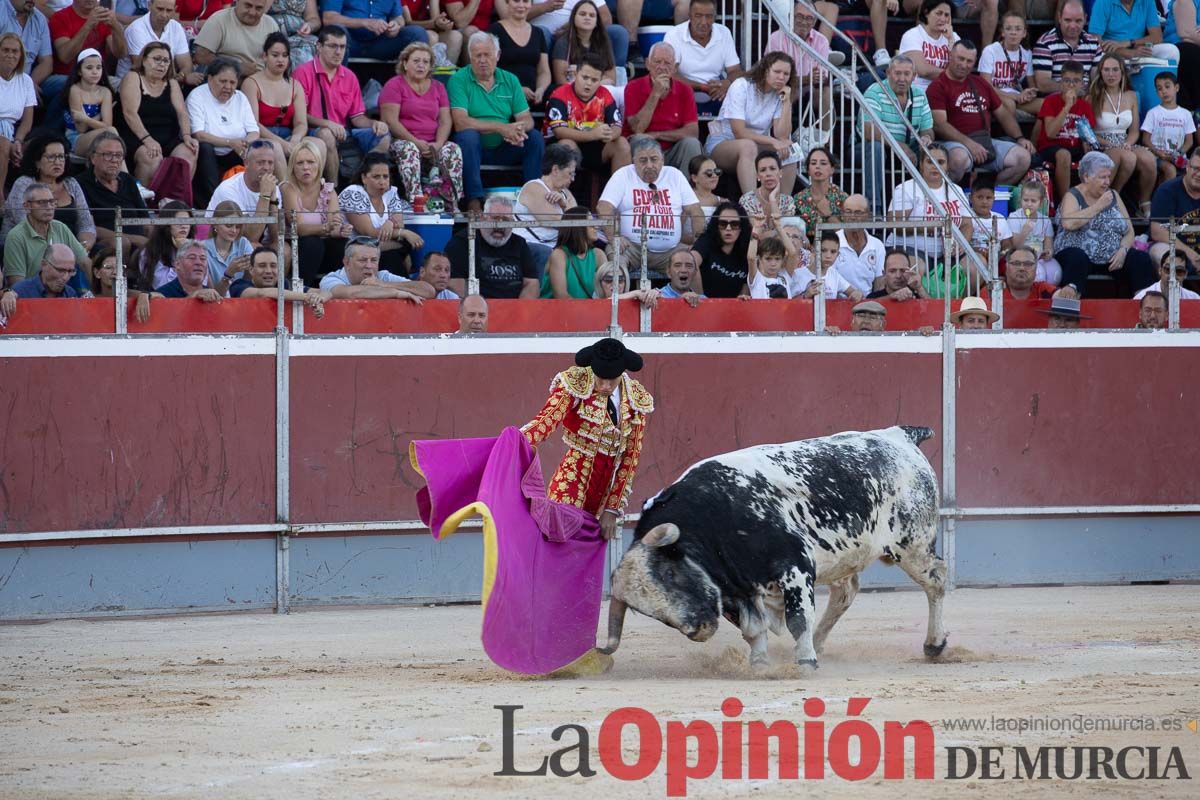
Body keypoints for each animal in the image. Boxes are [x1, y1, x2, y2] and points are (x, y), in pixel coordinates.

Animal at [600, 424, 945, 671]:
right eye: (647, 611)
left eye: (670, 574)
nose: (697, 629)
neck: (716, 513)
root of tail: (900, 436)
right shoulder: (734, 588)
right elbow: (754, 628)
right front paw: (760, 663)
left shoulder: (795, 568)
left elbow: (797, 618)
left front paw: (804, 661)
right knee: (845, 592)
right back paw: (819, 642)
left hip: (913, 546)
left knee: (936, 580)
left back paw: (934, 645)